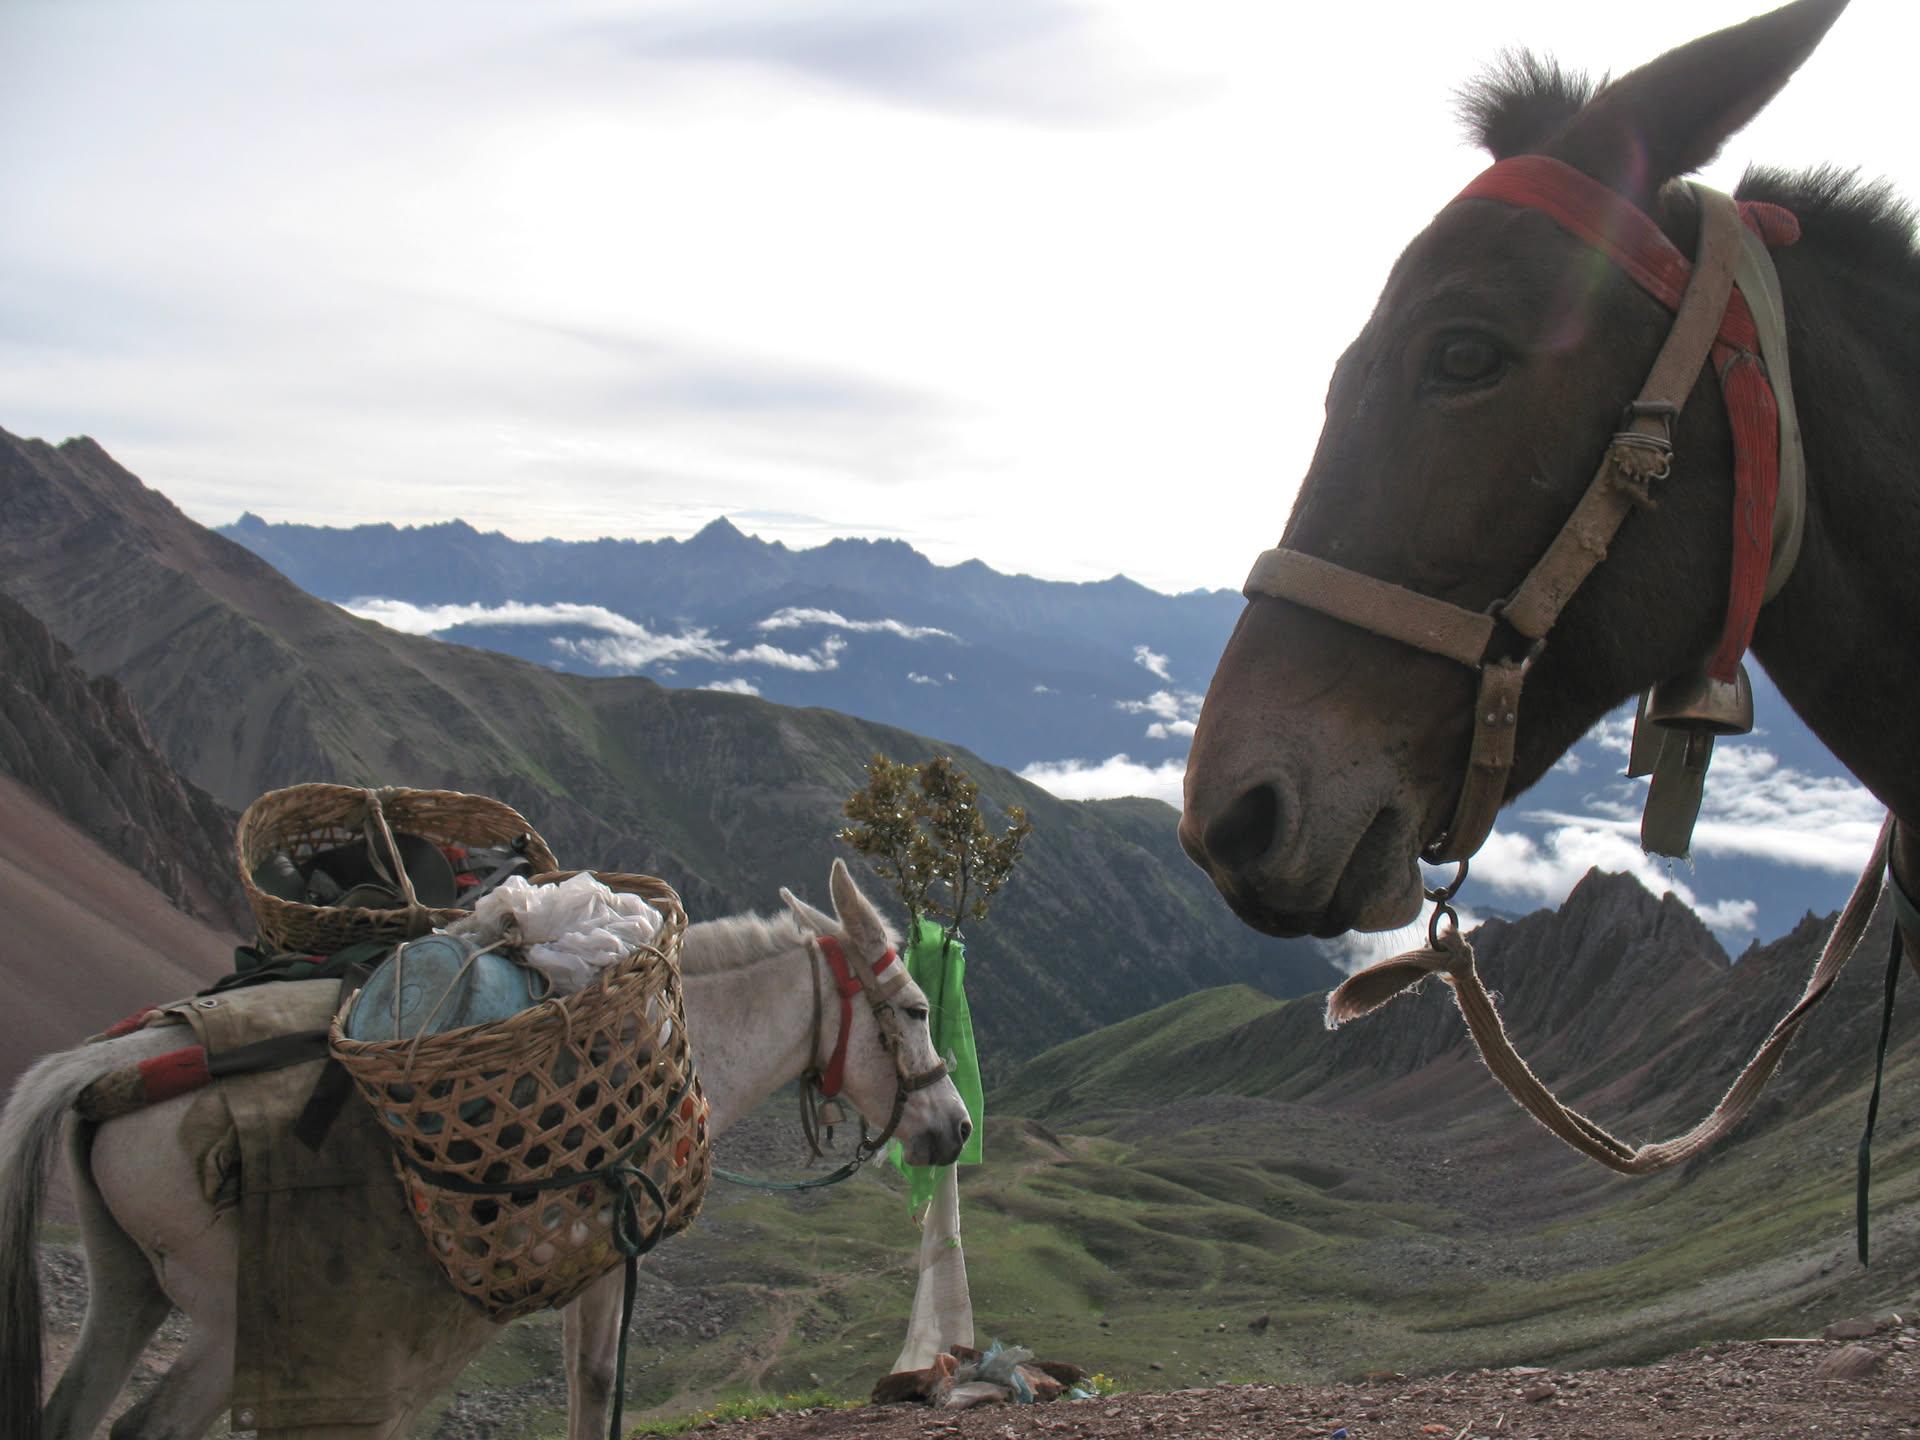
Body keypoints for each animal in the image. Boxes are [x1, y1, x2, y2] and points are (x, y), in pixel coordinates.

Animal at [1, 858, 972, 1440]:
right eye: (917, 1010)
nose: (956, 1128)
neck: (678, 1039)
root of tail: (119, 1063)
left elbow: (585, 1378)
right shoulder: (611, 1255)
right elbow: (595, 1381)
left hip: (128, 1291)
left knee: (70, 1412)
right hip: (233, 1320)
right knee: (148, 1426)